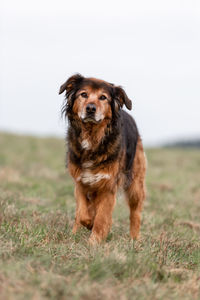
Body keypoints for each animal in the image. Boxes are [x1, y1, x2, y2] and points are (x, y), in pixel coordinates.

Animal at [58, 74, 146, 244]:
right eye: (83, 94)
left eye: (103, 97)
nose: (91, 108)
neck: (92, 136)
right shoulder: (80, 182)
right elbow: (83, 212)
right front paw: (88, 224)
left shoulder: (108, 186)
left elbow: (101, 217)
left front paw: (94, 241)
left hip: (135, 183)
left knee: (135, 212)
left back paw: (135, 239)